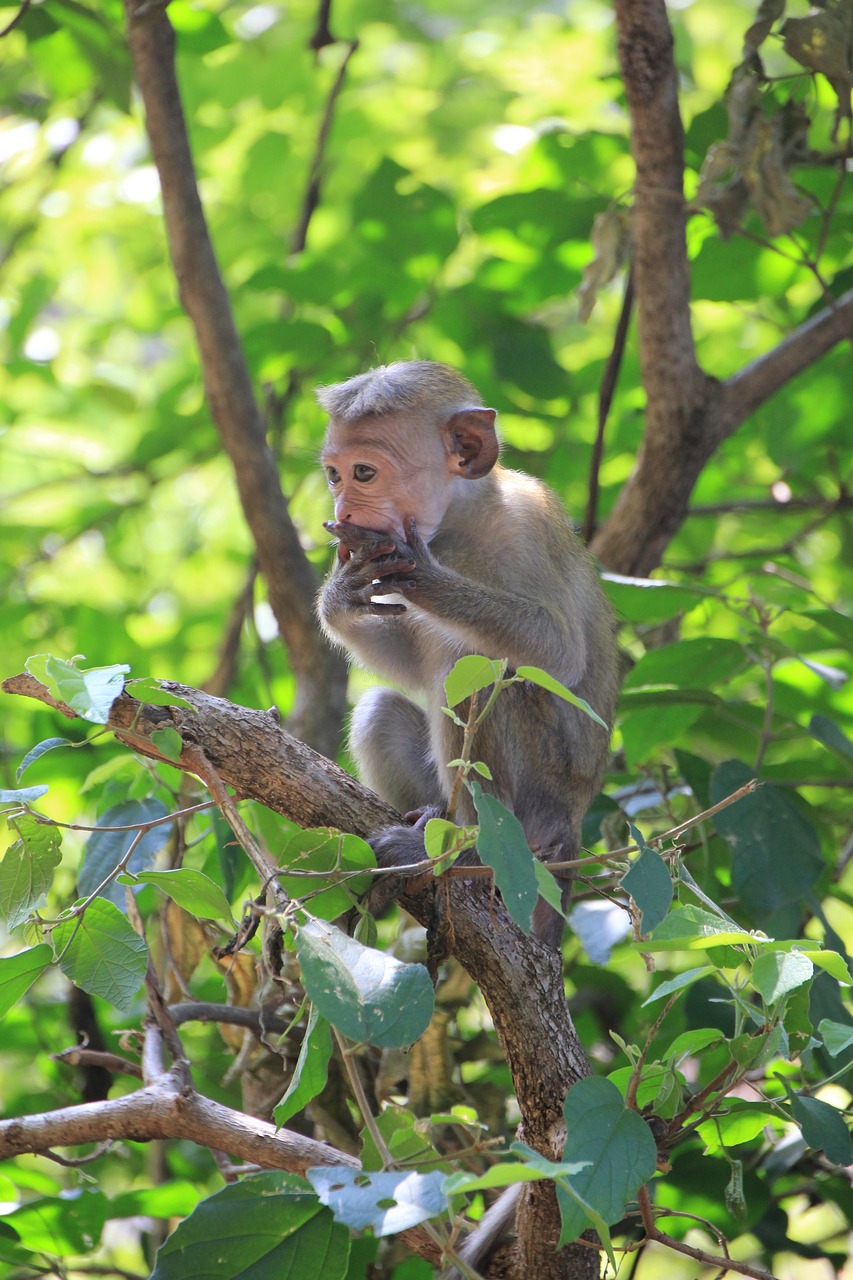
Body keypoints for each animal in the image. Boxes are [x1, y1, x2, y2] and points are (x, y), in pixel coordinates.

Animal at [315, 355, 614, 947]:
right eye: (335, 474)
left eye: (365, 473)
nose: (343, 509)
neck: (460, 524)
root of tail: (571, 825)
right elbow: (410, 665)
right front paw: (340, 593)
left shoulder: (527, 527)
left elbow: (559, 651)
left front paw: (423, 578)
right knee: (383, 711)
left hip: (544, 799)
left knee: (480, 671)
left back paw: (466, 854)